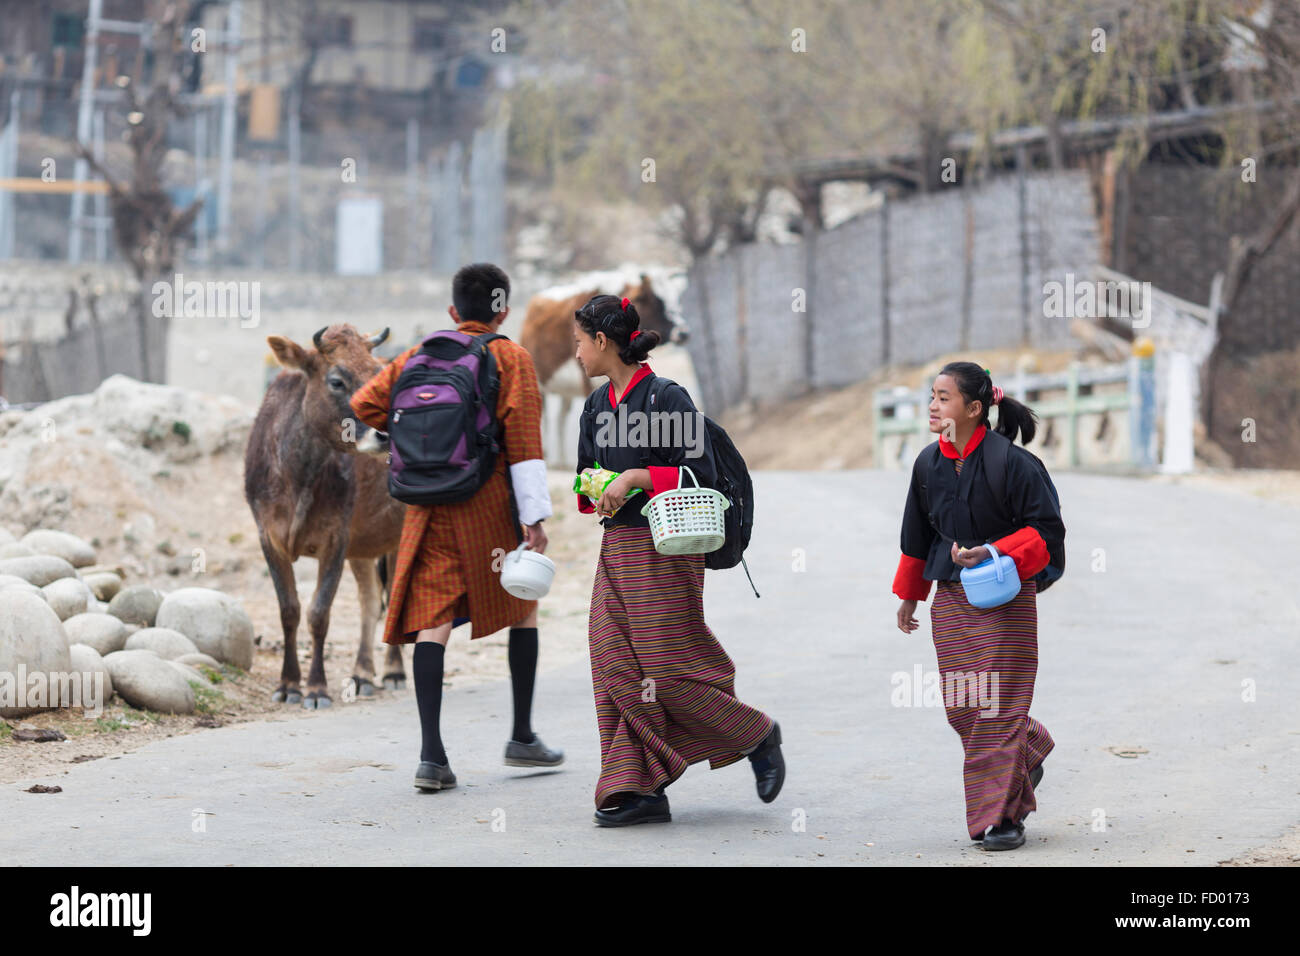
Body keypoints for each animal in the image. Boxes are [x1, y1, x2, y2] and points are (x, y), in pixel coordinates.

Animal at [244, 325, 405, 707]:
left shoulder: (336, 538)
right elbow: (289, 609)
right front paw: (288, 684)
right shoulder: (268, 536)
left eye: (376, 375)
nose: (384, 434)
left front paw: (316, 688)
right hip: (365, 544)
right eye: (337, 381)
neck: (298, 474)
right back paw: (362, 674)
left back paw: (394, 672)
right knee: (369, 598)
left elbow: (319, 613)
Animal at [520, 273, 691, 468]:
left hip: (566, 391)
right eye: (656, 301)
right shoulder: (587, 382)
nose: (683, 333)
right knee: (544, 417)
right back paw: (546, 456)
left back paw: (562, 461)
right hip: (538, 382)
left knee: (560, 418)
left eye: (677, 298)